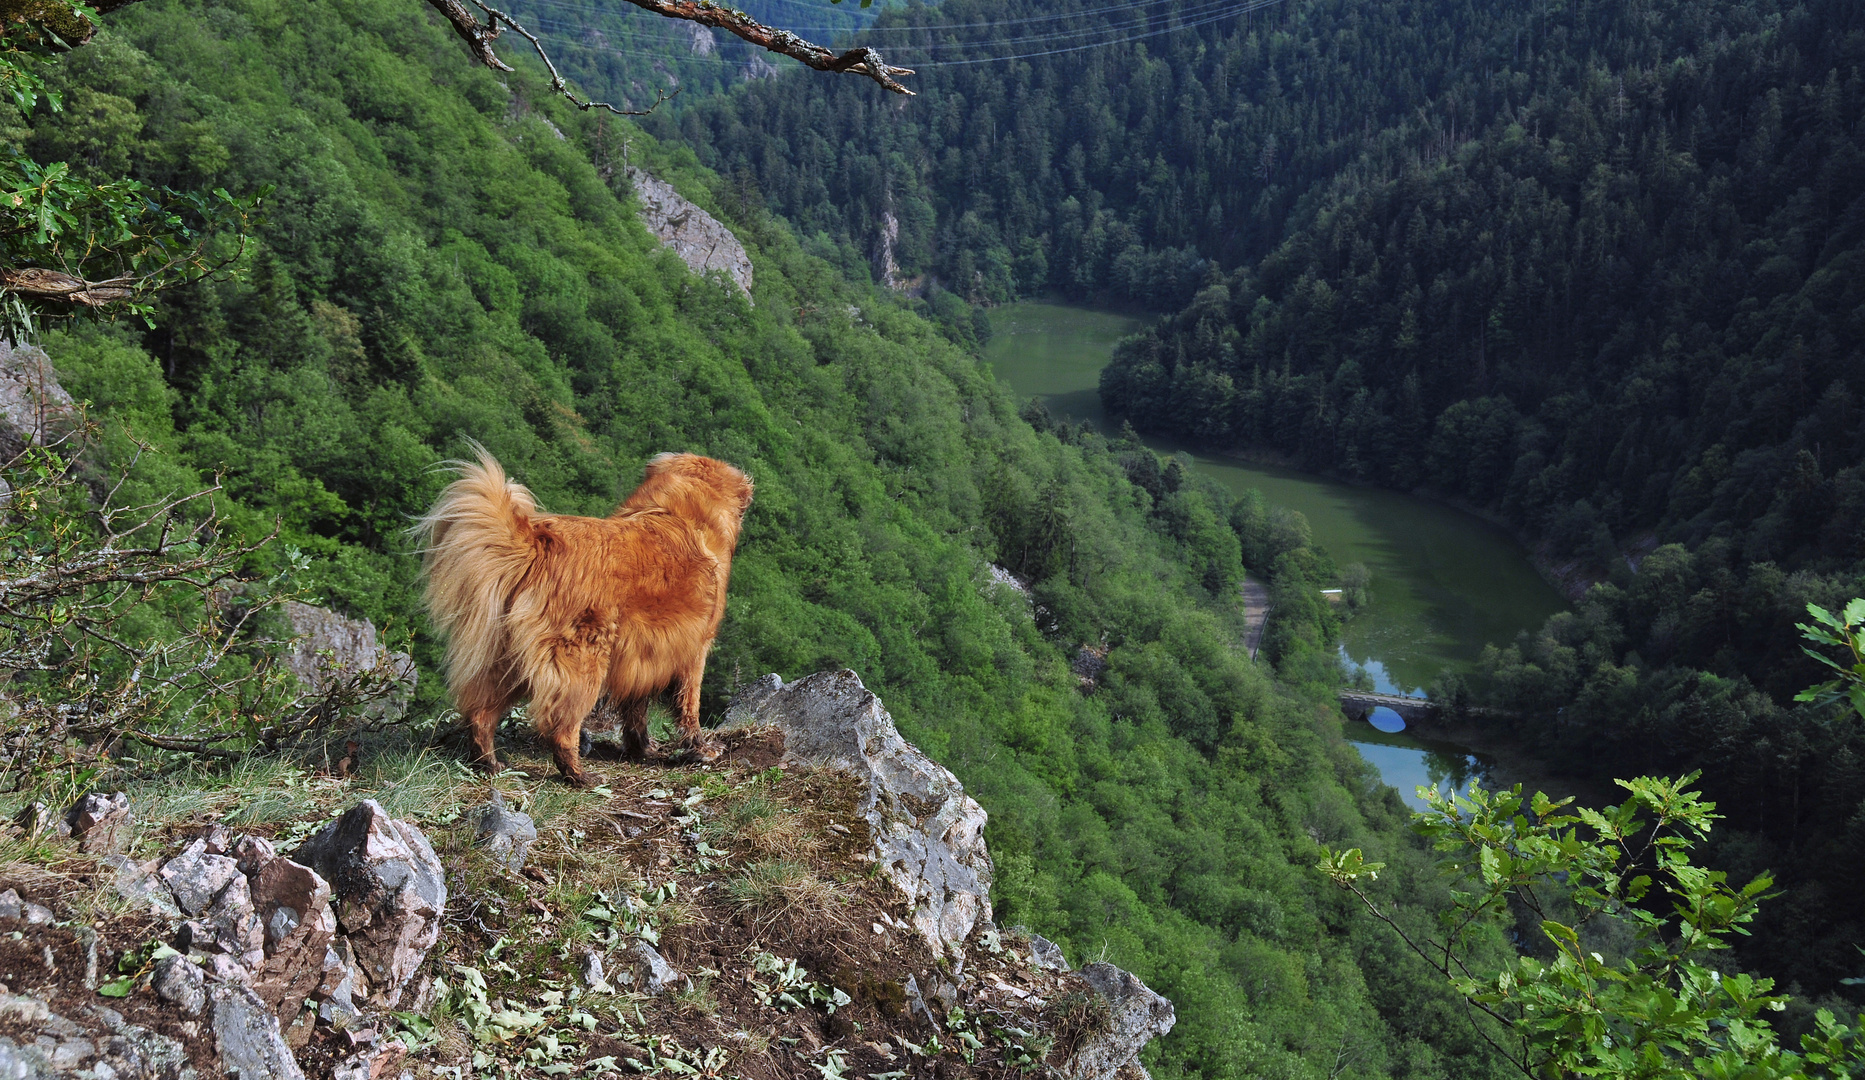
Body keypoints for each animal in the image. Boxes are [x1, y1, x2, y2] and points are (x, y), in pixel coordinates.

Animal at [415, 447, 749, 787]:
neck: (676, 512)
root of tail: (537, 542)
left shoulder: (641, 657)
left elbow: (636, 709)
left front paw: (640, 748)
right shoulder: (693, 649)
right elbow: (689, 705)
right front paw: (700, 749)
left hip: (504, 660)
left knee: (480, 714)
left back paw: (489, 764)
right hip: (582, 662)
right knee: (561, 725)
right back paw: (578, 774)